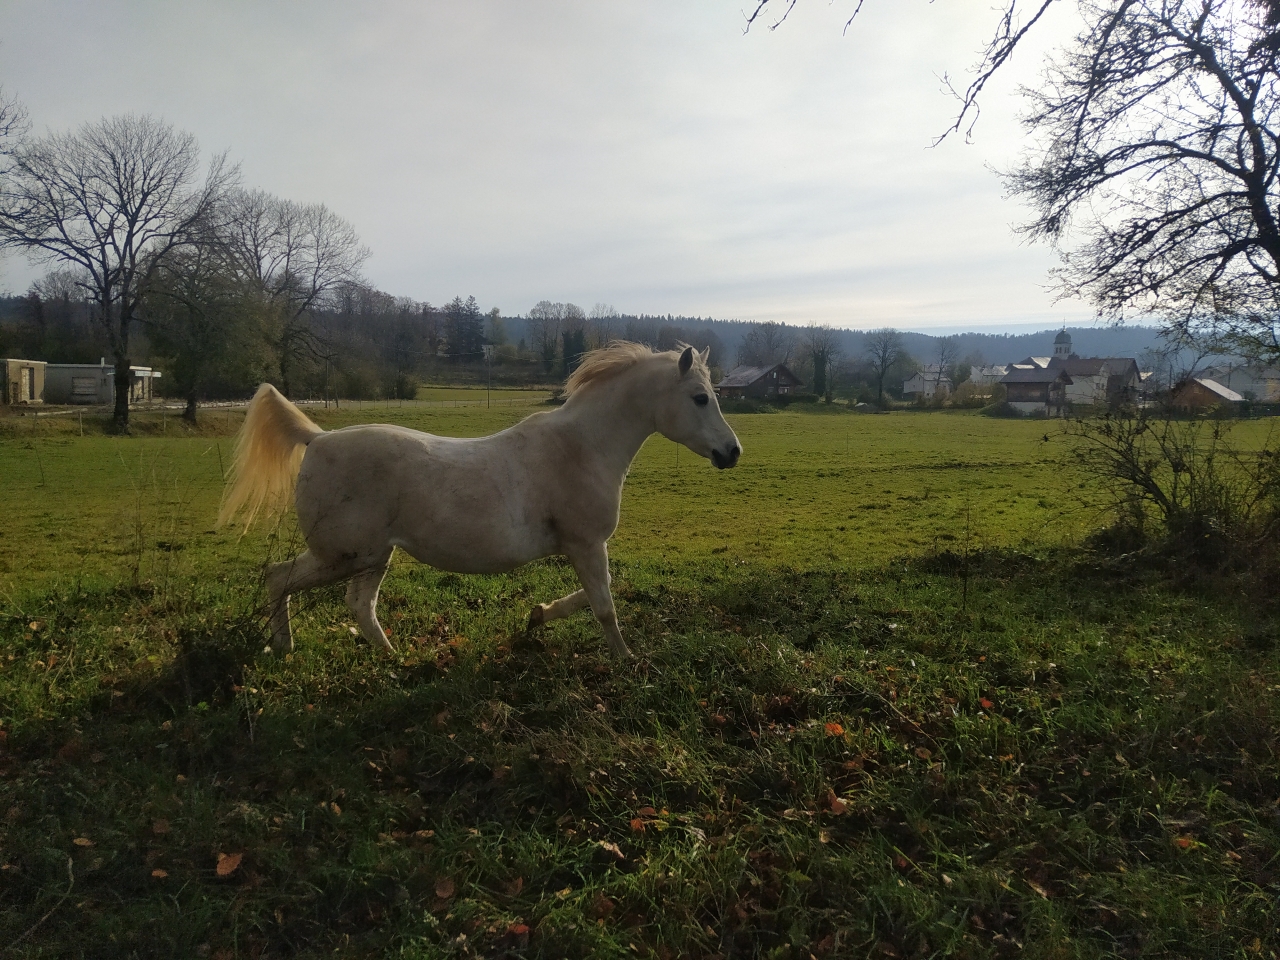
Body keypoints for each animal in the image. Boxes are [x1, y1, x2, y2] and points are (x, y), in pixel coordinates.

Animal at [218, 343, 742, 658]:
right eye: (700, 398)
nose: (732, 452)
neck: (581, 447)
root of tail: (317, 438)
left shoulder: (579, 549)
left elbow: (590, 598)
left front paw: (537, 616)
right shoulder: (589, 545)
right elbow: (604, 606)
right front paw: (627, 660)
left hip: (371, 557)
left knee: (356, 605)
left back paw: (388, 659)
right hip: (344, 554)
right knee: (281, 578)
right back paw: (293, 648)